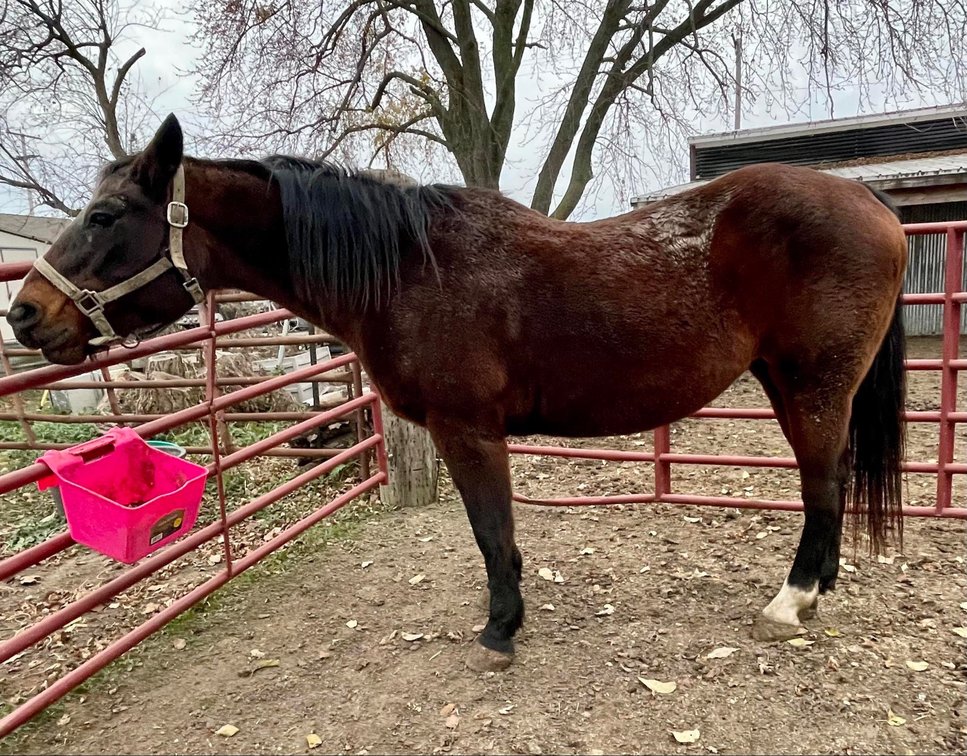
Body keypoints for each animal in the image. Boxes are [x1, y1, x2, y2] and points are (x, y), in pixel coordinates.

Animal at [8, 115, 907, 673]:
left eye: (106, 215)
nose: (25, 313)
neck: (409, 269)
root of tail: (867, 199)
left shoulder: (465, 429)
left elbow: (489, 531)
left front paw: (500, 629)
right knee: (825, 484)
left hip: (813, 385)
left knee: (820, 485)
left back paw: (791, 602)